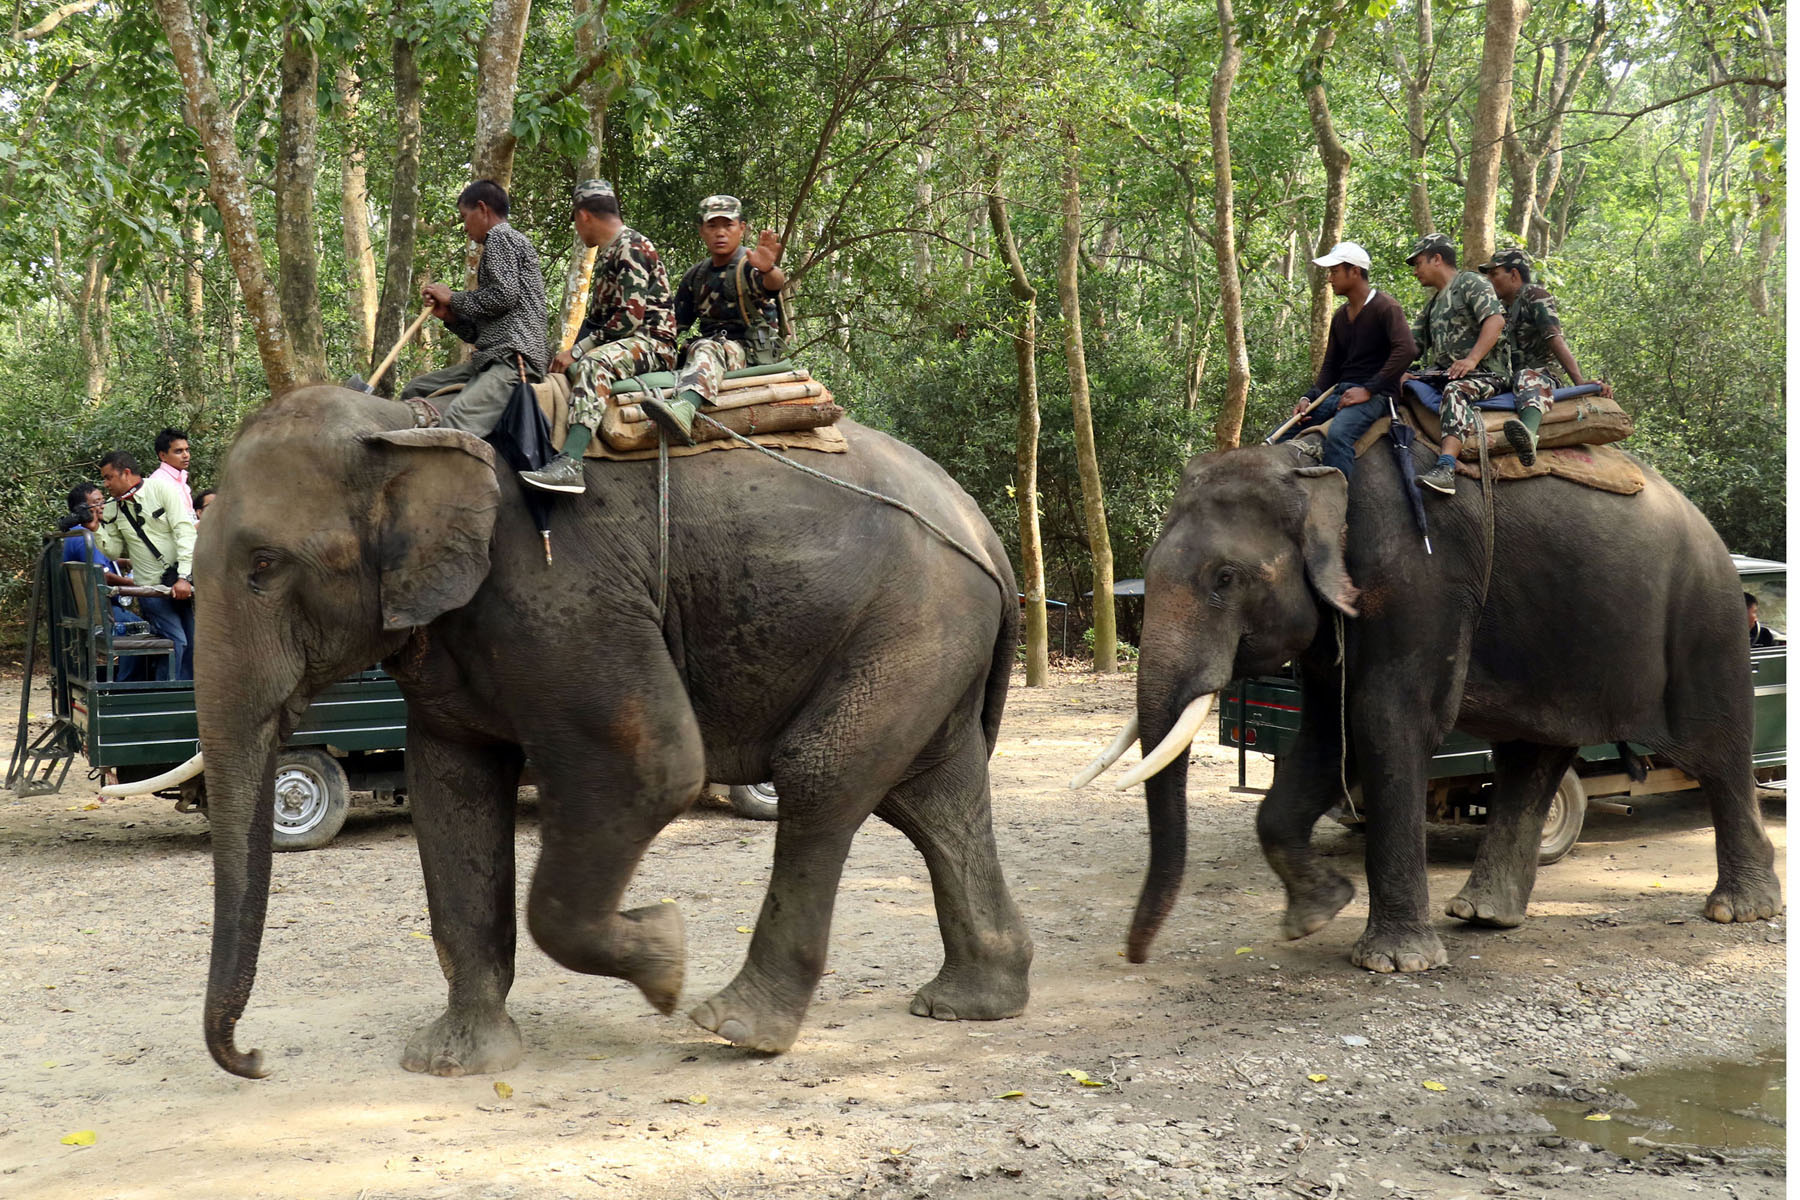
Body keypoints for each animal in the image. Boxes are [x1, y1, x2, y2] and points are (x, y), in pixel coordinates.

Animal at [184, 386, 1036, 1079]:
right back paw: (968, 1002)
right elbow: (451, 793)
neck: (406, 422)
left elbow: (650, 770)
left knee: (822, 773)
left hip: (914, 619)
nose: (257, 1059)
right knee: (931, 798)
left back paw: (736, 1026)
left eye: (263, 566)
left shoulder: (563, 594)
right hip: (929, 639)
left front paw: (666, 956)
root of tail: (987, 536)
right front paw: (454, 1061)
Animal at [1072, 440, 1778, 978]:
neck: (1310, 462)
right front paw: (1314, 914)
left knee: (1717, 750)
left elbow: (1385, 720)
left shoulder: (1419, 577)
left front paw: (1393, 962)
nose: (1135, 956)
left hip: (1703, 618)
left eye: (1224, 579)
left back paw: (1739, 910)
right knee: (1536, 756)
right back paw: (1481, 915)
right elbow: (1329, 735)